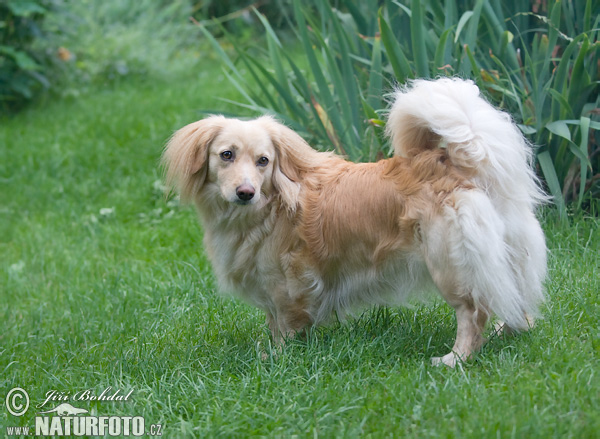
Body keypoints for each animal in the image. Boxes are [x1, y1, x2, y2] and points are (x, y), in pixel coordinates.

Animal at [162, 78, 548, 368]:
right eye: (226, 155)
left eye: (263, 161)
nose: (246, 192)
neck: (266, 210)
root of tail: (452, 162)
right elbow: (273, 323)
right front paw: (270, 351)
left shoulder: (287, 286)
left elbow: (286, 325)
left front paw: (280, 358)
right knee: (516, 301)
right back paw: (507, 332)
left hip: (450, 264)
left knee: (473, 312)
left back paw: (455, 359)